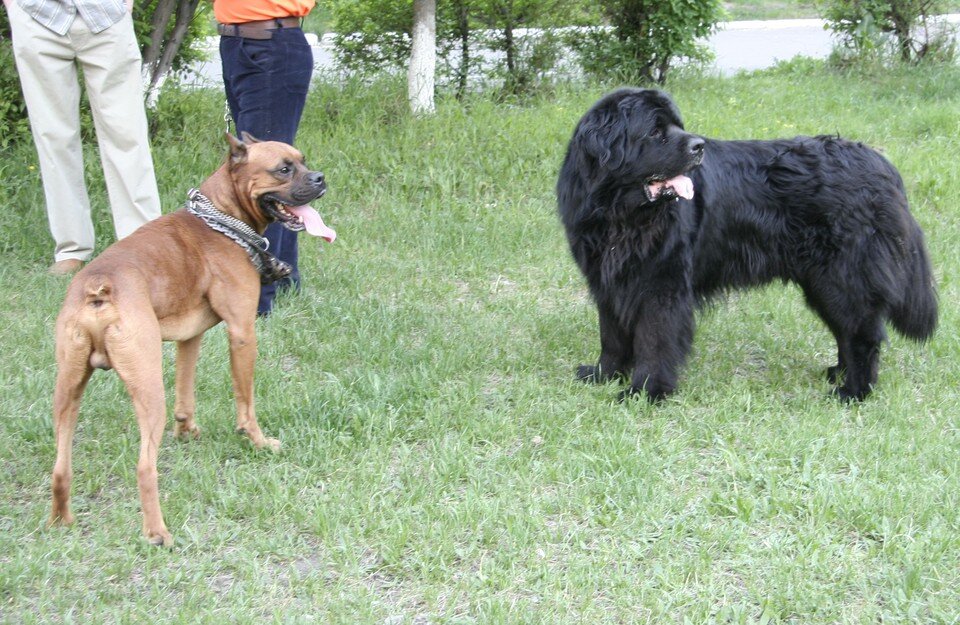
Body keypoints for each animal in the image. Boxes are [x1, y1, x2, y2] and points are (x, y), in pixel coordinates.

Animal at [48, 133, 336, 544]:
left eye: (303, 160)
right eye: (283, 169)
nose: (320, 178)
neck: (221, 218)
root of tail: (97, 288)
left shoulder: (191, 338)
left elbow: (186, 389)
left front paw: (187, 431)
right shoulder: (242, 333)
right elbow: (246, 403)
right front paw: (258, 441)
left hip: (68, 390)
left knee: (60, 466)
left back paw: (61, 520)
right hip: (148, 389)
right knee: (144, 468)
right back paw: (157, 533)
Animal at [556, 88, 936, 400]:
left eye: (677, 126)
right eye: (654, 131)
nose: (698, 146)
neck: (621, 214)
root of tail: (881, 164)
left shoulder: (662, 286)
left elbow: (654, 340)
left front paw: (645, 392)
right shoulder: (608, 280)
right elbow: (612, 335)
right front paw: (604, 375)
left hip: (842, 276)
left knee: (863, 334)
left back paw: (854, 392)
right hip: (821, 281)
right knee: (847, 329)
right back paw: (838, 374)